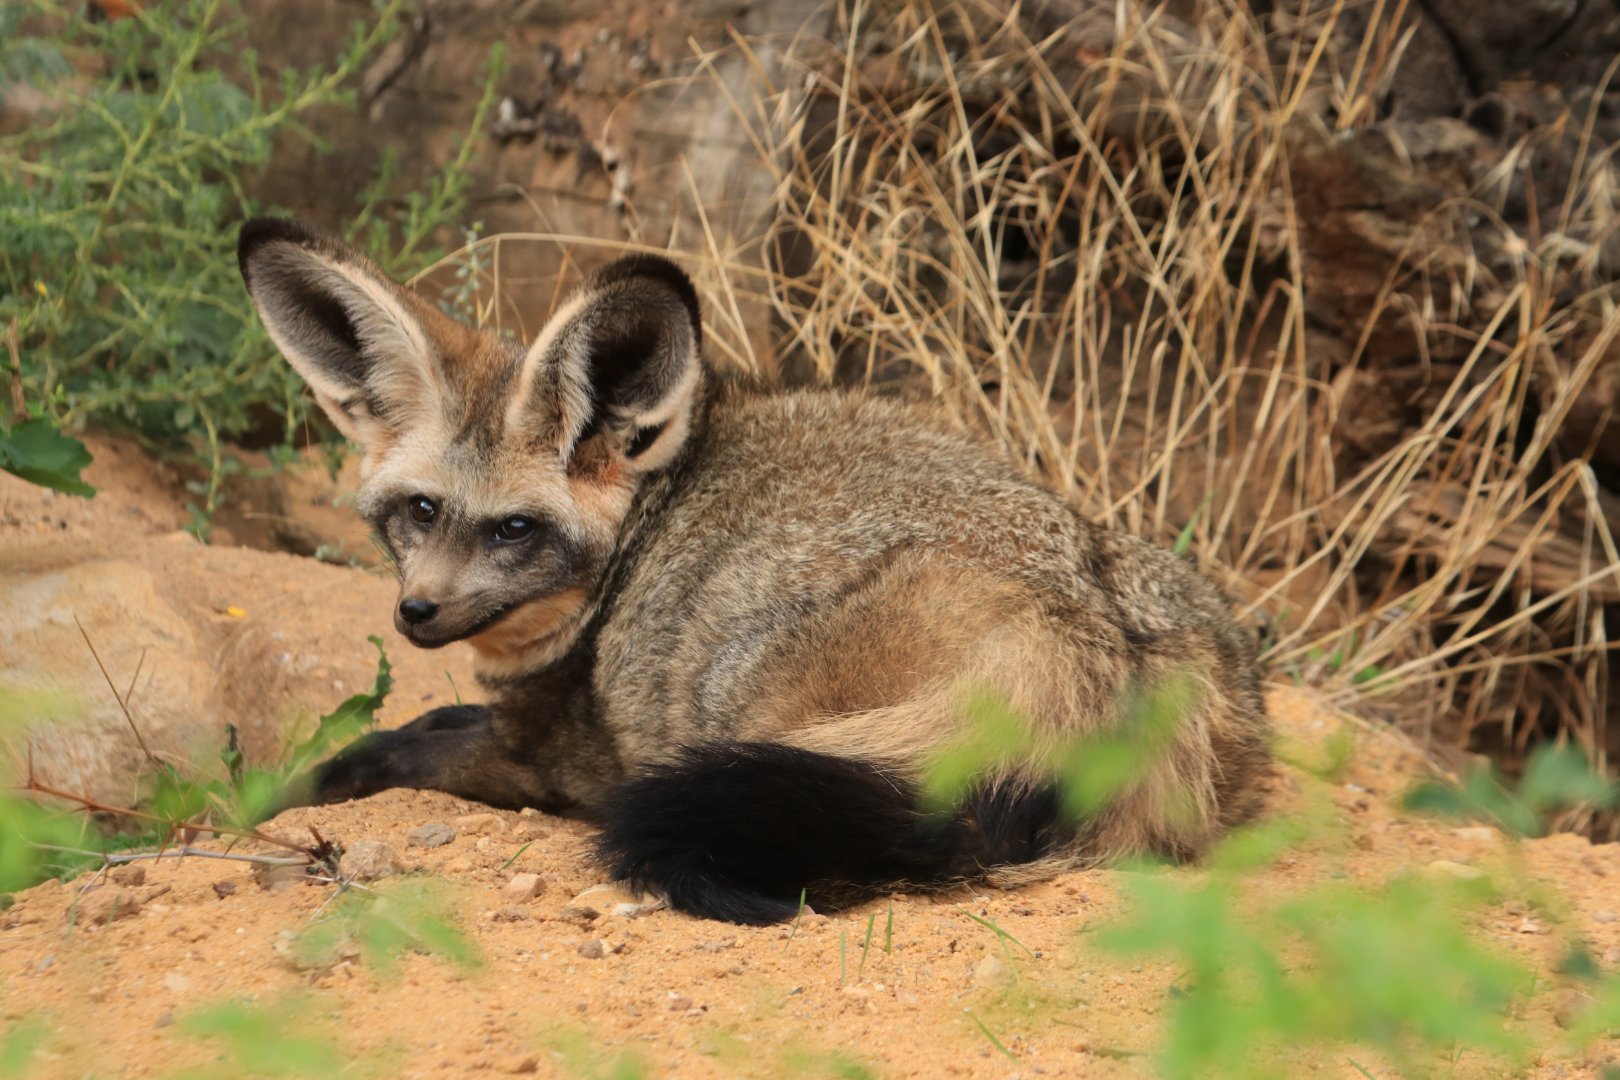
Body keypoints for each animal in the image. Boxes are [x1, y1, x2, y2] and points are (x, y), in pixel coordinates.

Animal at [237, 216, 1272, 924]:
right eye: (419, 513)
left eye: (515, 530)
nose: (416, 614)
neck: (654, 519)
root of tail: (1100, 635)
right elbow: (422, 719)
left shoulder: (558, 760)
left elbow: (400, 744)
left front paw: (289, 789)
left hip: (739, 698)